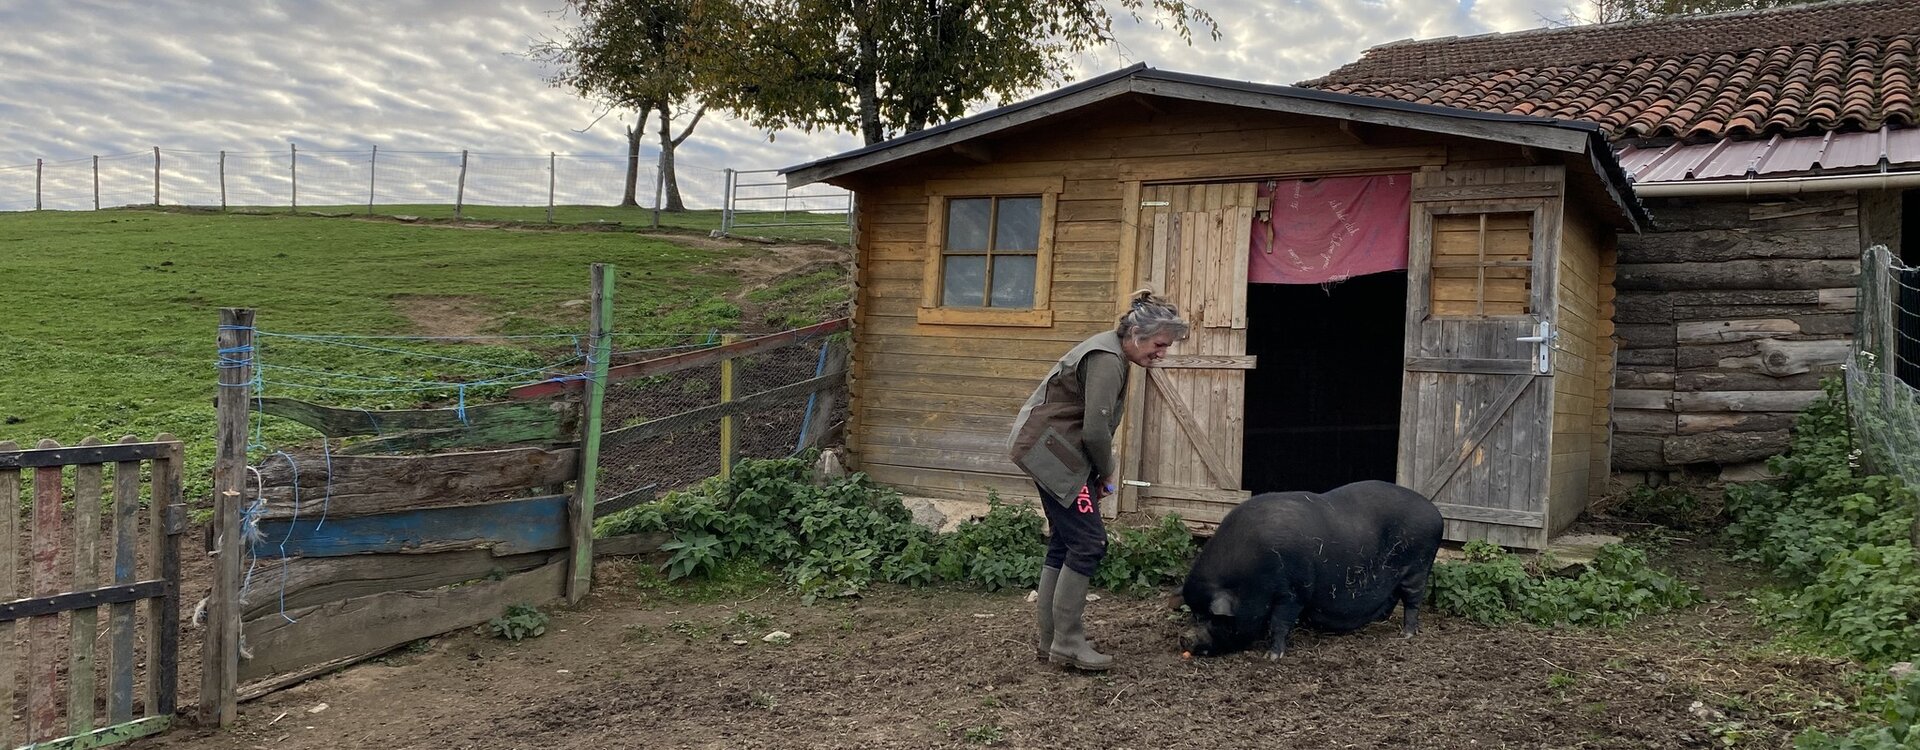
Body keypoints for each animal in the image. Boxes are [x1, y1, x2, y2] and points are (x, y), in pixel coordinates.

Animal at [1182, 485, 1443, 659]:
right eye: (1194, 612)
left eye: (1209, 616)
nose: (1184, 638)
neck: (1250, 578)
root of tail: (1437, 514)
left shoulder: (1293, 592)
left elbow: (1280, 622)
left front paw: (1272, 657)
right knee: (1392, 595)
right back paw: (1379, 621)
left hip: (1418, 567)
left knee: (1412, 600)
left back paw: (1407, 635)